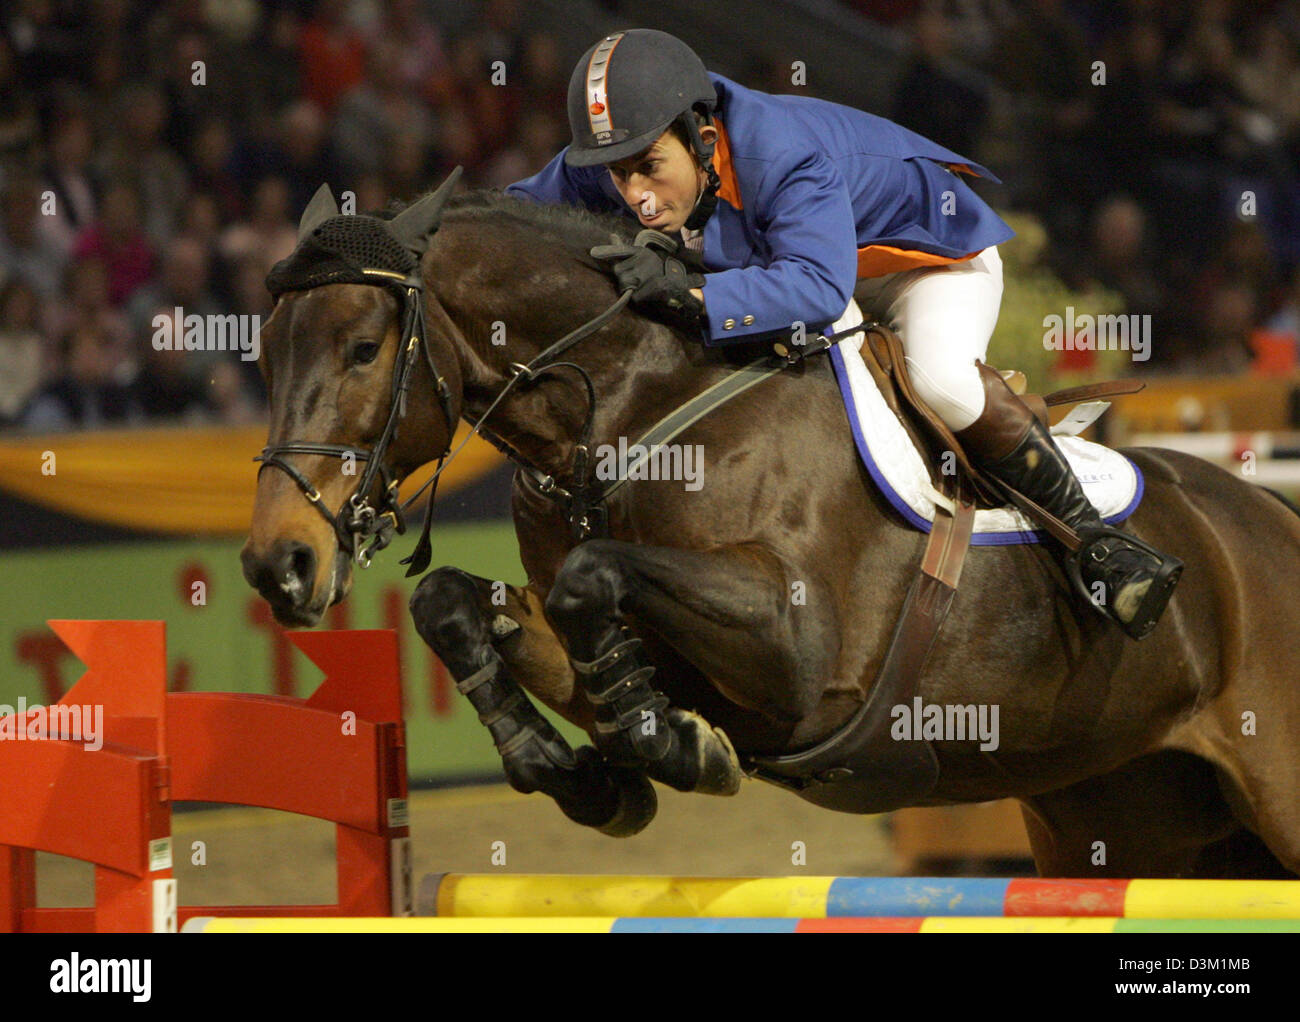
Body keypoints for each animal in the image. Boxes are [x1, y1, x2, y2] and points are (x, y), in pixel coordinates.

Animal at [241, 172, 1300, 873]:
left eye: (364, 347)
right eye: (264, 352)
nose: (276, 567)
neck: (629, 409)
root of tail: (1269, 519)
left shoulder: (799, 656)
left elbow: (595, 575)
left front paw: (671, 750)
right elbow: (455, 604)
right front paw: (582, 773)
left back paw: (1127, 571)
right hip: (1119, 812)